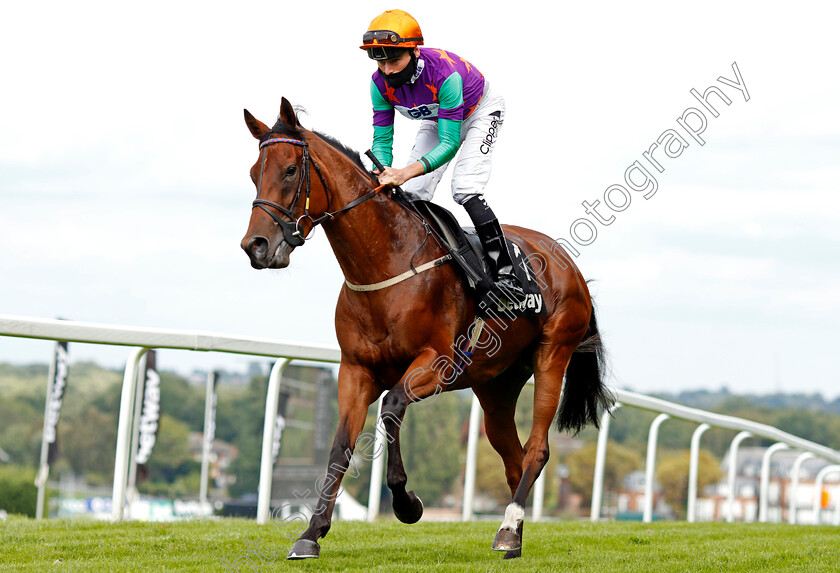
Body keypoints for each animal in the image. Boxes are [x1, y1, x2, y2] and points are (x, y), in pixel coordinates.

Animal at [240, 98, 612, 560]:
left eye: (290, 170)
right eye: (254, 172)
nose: (255, 246)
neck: (386, 264)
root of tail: (572, 268)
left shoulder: (437, 362)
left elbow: (392, 408)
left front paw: (406, 503)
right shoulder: (355, 370)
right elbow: (340, 445)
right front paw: (310, 533)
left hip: (552, 356)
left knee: (538, 450)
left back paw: (508, 529)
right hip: (496, 387)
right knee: (513, 457)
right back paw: (513, 538)